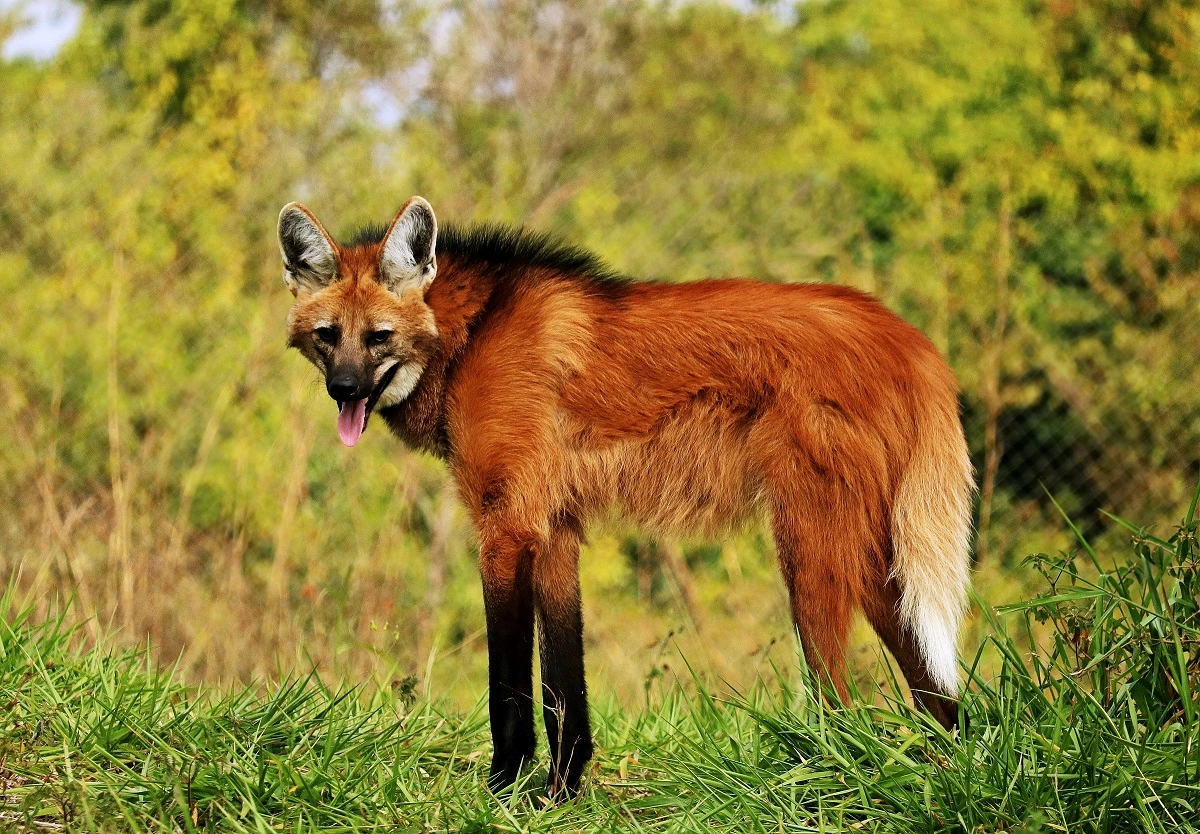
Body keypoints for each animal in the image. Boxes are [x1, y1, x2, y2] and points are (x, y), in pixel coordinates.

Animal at [278, 194, 974, 796]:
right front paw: (560, 793)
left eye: (379, 336)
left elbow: (509, 685)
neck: (470, 334)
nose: (344, 390)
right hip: (878, 553)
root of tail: (908, 337)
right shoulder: (554, 526)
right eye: (327, 335)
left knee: (839, 699)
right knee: (941, 691)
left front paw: (504, 792)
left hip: (810, 548)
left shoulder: (506, 525)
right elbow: (564, 685)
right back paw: (945, 772)